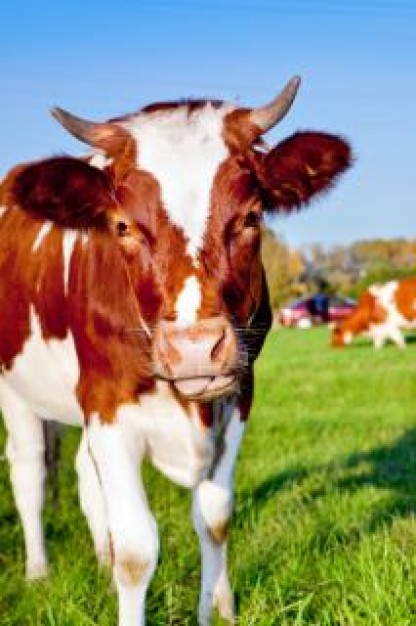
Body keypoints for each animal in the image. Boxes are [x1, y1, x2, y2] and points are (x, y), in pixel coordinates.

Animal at [0, 78, 352, 624]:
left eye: (251, 217)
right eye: (122, 226)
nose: (194, 349)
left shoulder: (239, 395)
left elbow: (215, 517)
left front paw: (219, 609)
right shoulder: (109, 404)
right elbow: (137, 549)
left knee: (84, 474)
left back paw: (99, 566)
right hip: (16, 388)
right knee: (29, 471)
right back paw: (38, 572)